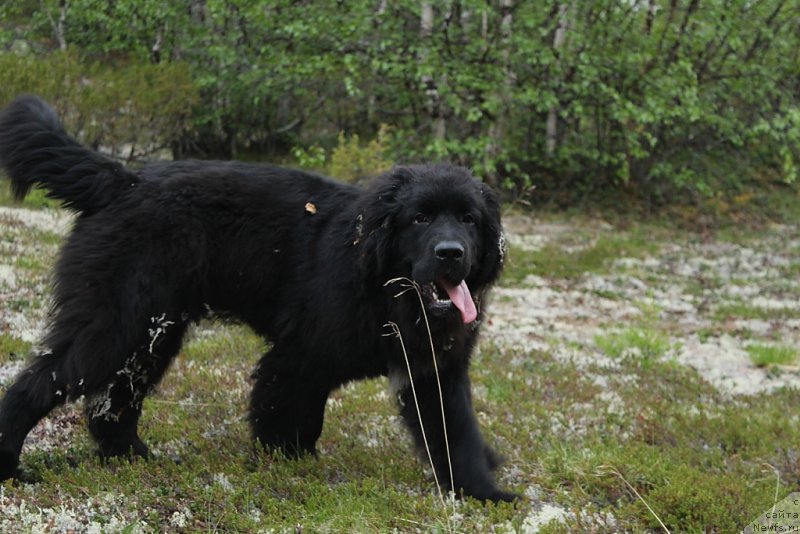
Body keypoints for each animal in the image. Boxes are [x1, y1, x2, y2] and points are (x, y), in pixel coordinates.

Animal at [0, 96, 516, 502]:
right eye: (420, 218)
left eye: (468, 220)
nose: (450, 253)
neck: (382, 283)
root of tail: (121, 180)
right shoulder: (297, 356)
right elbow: (286, 417)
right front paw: (285, 464)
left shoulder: (435, 369)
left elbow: (457, 433)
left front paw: (483, 492)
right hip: (116, 323)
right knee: (39, 383)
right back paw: (12, 466)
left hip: (153, 332)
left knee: (113, 402)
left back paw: (134, 458)